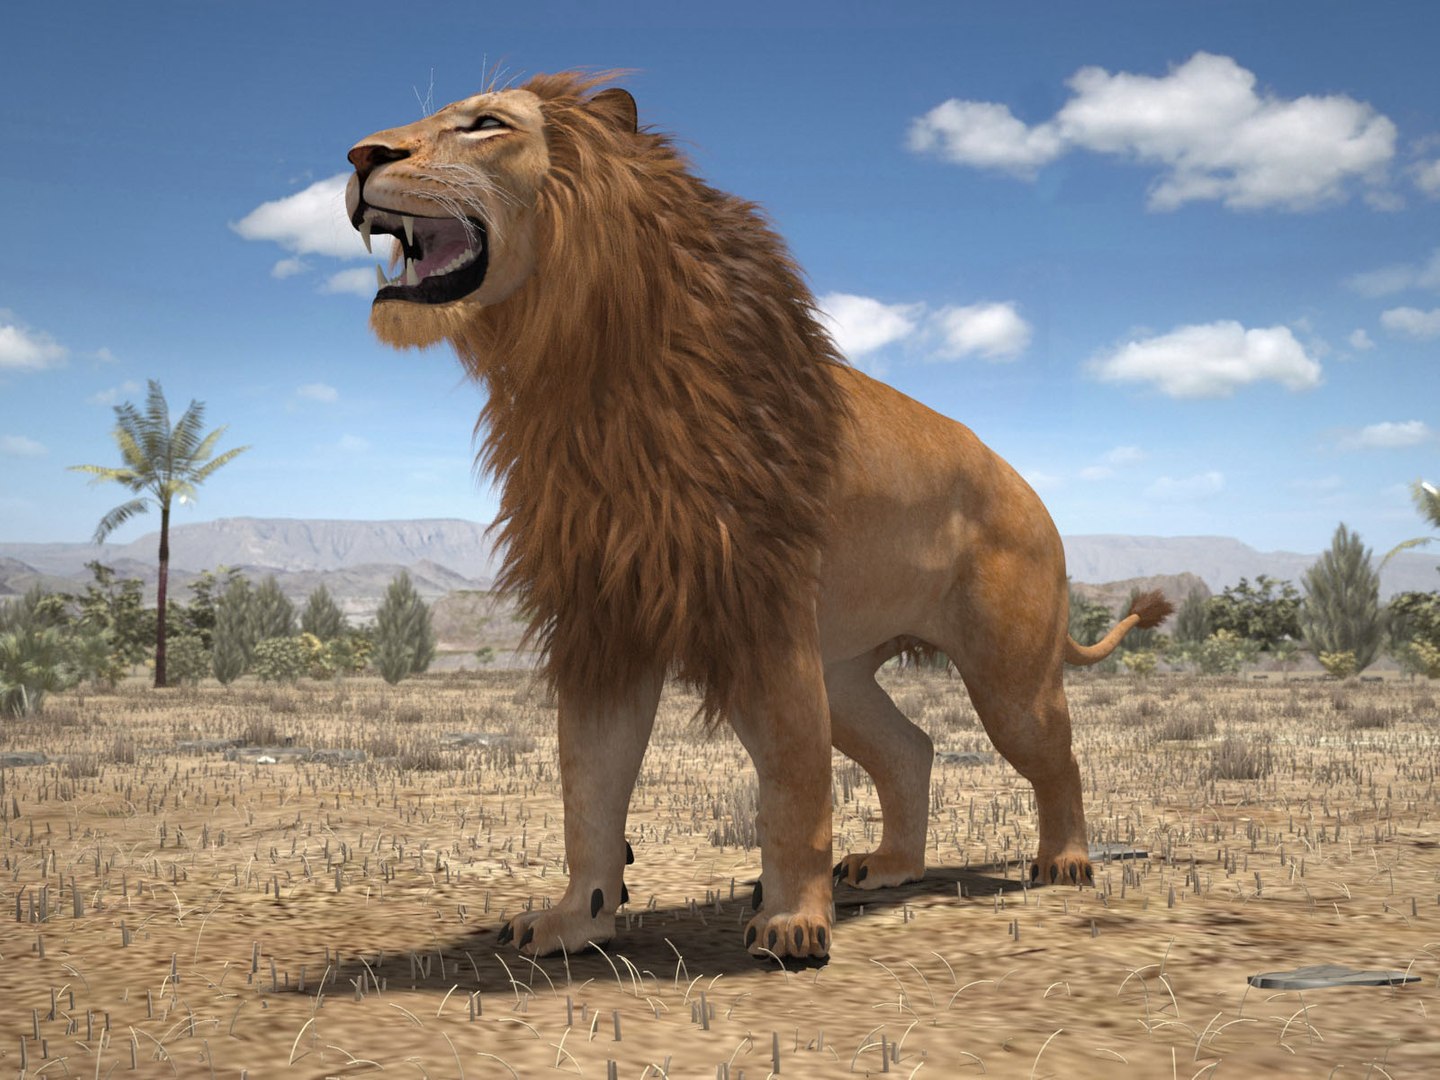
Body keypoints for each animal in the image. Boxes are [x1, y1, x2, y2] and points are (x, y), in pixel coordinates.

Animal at [345, 72, 1172, 960]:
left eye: (486, 124)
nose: (358, 156)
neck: (588, 375)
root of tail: (1033, 494)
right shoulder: (605, 623)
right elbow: (589, 786)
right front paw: (577, 919)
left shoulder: (761, 615)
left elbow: (792, 789)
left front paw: (793, 924)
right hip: (845, 670)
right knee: (911, 748)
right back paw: (890, 866)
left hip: (1007, 674)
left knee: (1056, 756)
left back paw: (1065, 862)